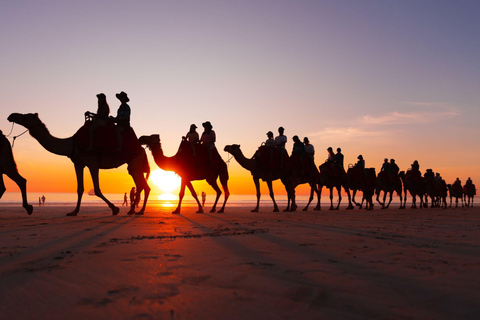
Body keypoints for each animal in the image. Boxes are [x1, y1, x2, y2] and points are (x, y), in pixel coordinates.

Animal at [7, 112, 150, 215]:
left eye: (25, 116)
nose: (11, 115)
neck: (72, 143)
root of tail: (141, 148)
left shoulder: (92, 163)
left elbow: (97, 189)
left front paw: (115, 209)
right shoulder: (78, 163)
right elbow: (79, 188)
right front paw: (74, 212)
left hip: (134, 161)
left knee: (141, 185)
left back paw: (135, 211)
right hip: (135, 165)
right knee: (142, 186)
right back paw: (135, 211)